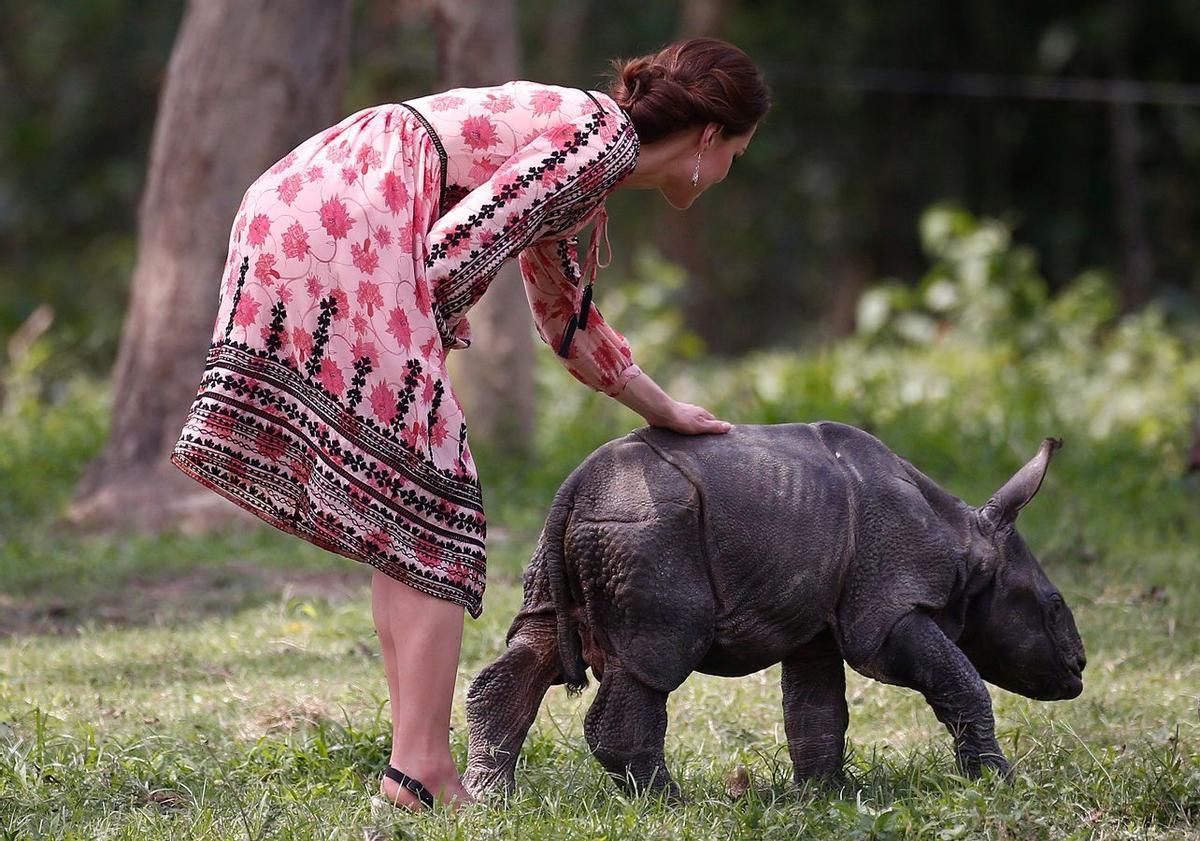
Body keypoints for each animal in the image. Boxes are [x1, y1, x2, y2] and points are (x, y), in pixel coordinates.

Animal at [460, 422, 1089, 796]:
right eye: (1054, 605)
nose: (1079, 668)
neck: (969, 548)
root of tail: (576, 488)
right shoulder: (886, 610)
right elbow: (961, 683)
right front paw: (998, 784)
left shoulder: (818, 619)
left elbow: (817, 710)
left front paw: (824, 797)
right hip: (646, 531)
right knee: (654, 662)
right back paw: (670, 804)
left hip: (580, 534)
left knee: (536, 646)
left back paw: (488, 799)